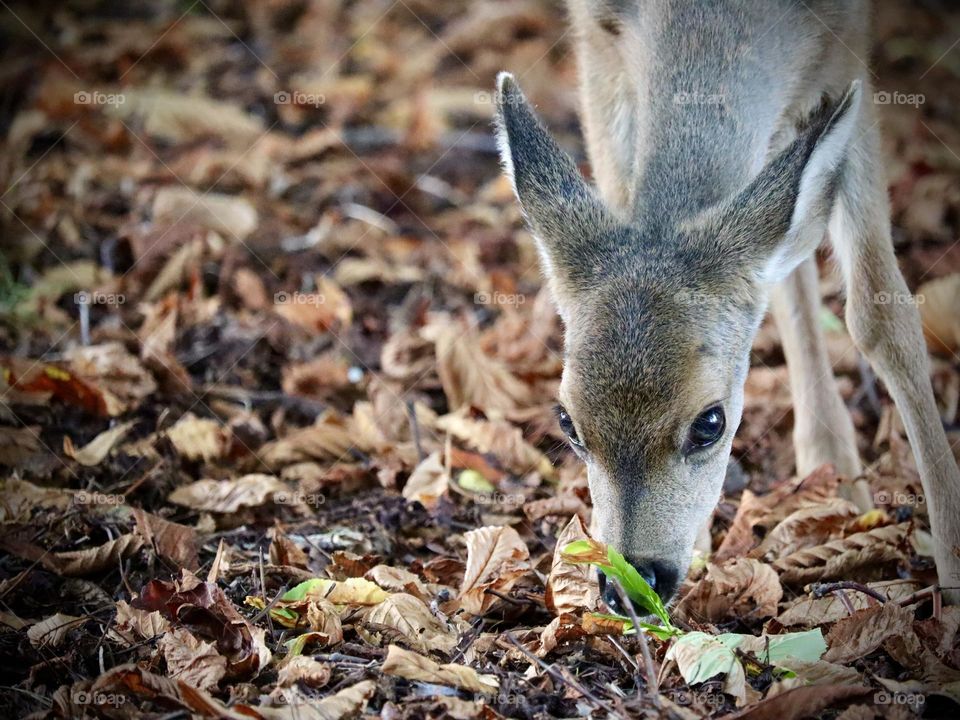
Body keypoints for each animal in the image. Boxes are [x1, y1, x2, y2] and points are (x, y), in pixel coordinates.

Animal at [496, 0, 960, 612]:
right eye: (567, 422)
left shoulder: (849, 48)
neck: (713, 24)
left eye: (710, 423)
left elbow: (880, 315)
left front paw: (954, 561)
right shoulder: (595, 33)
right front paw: (697, 546)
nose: (630, 585)